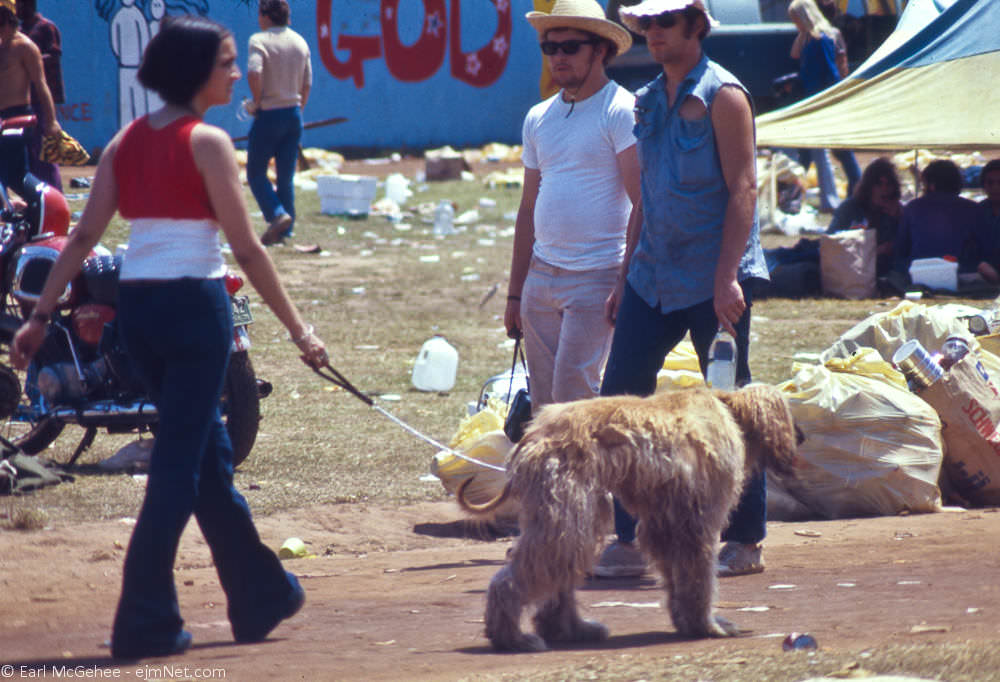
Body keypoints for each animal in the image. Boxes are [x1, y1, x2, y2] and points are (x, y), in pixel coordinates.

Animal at [458, 382, 796, 648]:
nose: (802, 439)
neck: (727, 407)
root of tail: (533, 433)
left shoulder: (668, 521)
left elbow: (678, 574)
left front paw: (687, 621)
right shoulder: (698, 520)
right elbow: (698, 575)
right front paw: (708, 626)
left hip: (571, 512)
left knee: (560, 566)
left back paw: (571, 630)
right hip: (567, 506)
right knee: (521, 574)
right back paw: (513, 637)